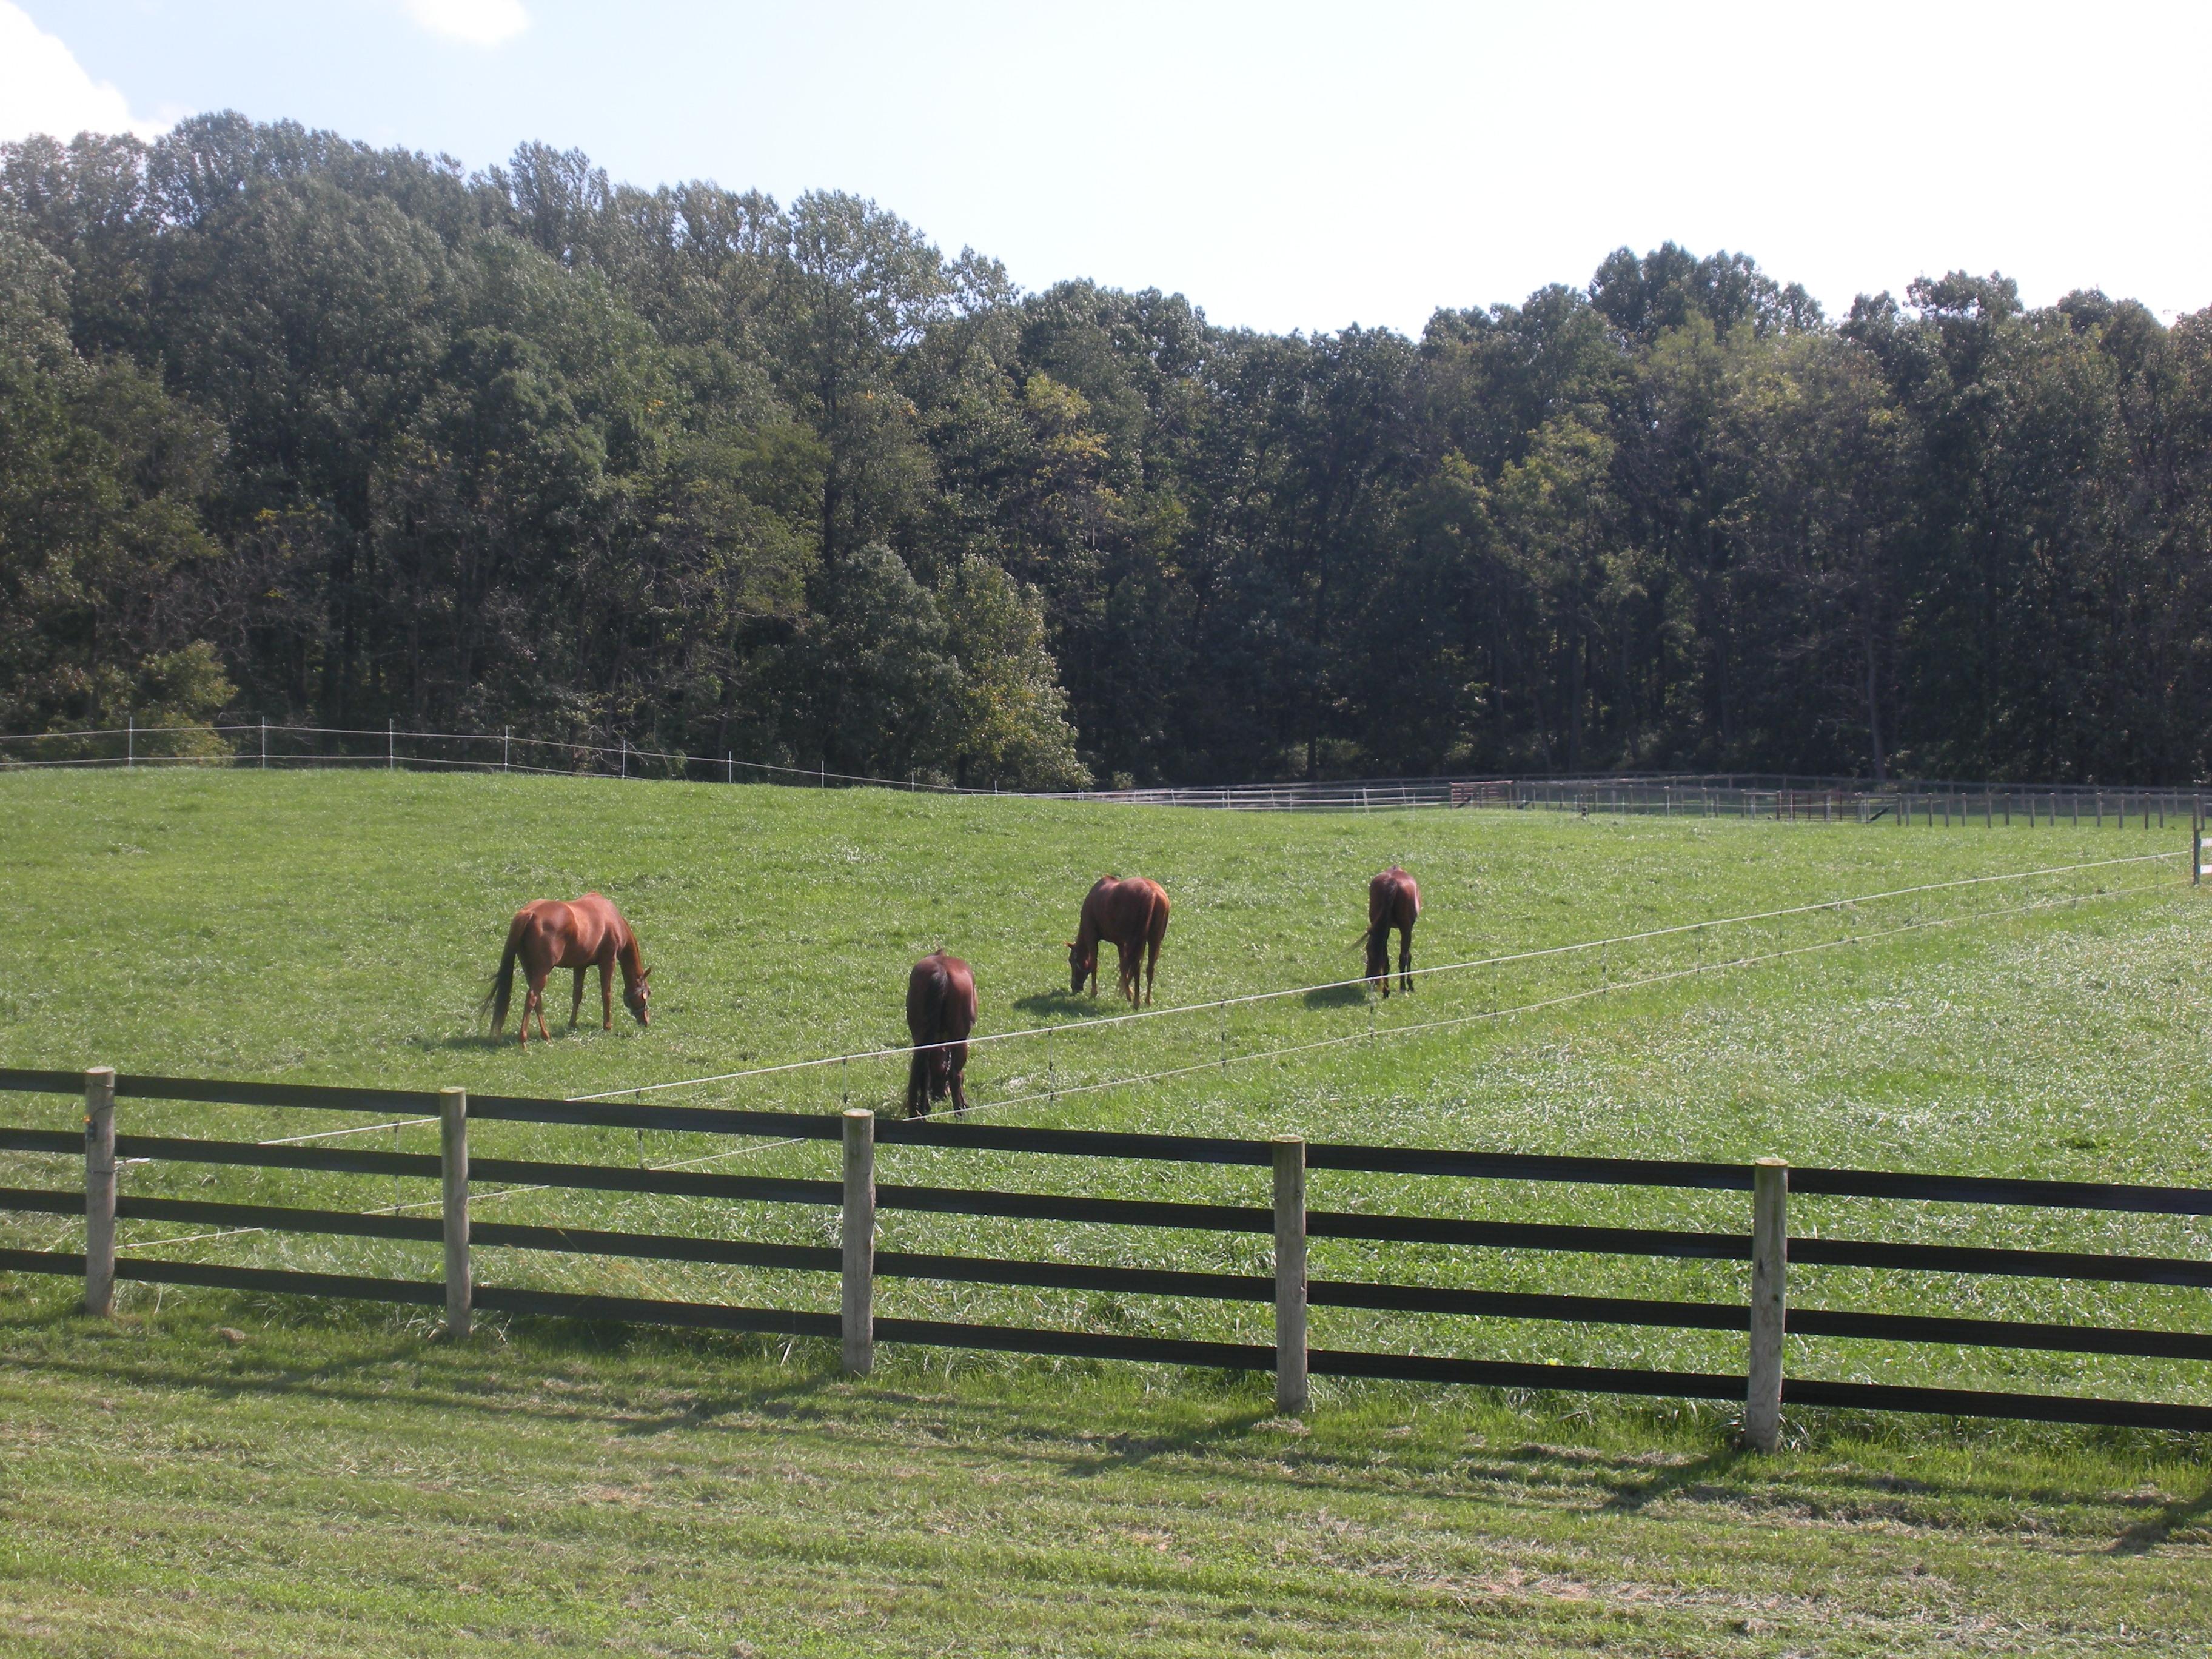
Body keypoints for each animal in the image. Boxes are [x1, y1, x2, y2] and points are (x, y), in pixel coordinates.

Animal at [484, 898, 646, 1053]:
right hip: (542, 972)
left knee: (538, 1000)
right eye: (647, 993)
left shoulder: (580, 966)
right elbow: (606, 994)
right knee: (531, 998)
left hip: (530, 970)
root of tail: (529, 914)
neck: (612, 918)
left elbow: (577, 995)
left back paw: (546, 1035)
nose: (645, 1021)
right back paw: (524, 1041)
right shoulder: (608, 961)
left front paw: (572, 1023)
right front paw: (607, 1026)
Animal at [898, 955, 977, 1124]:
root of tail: (940, 972)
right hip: (959, 1039)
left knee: (923, 1070)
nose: (940, 1095)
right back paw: (959, 1113)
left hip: (920, 1037)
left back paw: (920, 1111)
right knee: (956, 1075)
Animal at [1062, 876, 1168, 1008]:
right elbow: (1123, 967)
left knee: (1136, 968)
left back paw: (1137, 1002)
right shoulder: (1121, 943)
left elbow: (1094, 965)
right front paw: (1128, 992)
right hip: (1154, 941)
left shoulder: (1093, 939)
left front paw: (1094, 993)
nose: (1074, 987)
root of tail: (1152, 893)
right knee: (1149, 969)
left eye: (1071, 961)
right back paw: (1147, 1001)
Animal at [1353, 871, 1424, 999]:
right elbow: (1408, 956)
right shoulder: (1408, 929)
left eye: (1368, 952)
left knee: (1385, 959)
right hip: (1405, 928)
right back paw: (1402, 989)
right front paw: (1410, 985)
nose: (1369, 978)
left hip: (1385, 928)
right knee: (1403, 958)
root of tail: (1392, 882)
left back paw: (1386, 991)